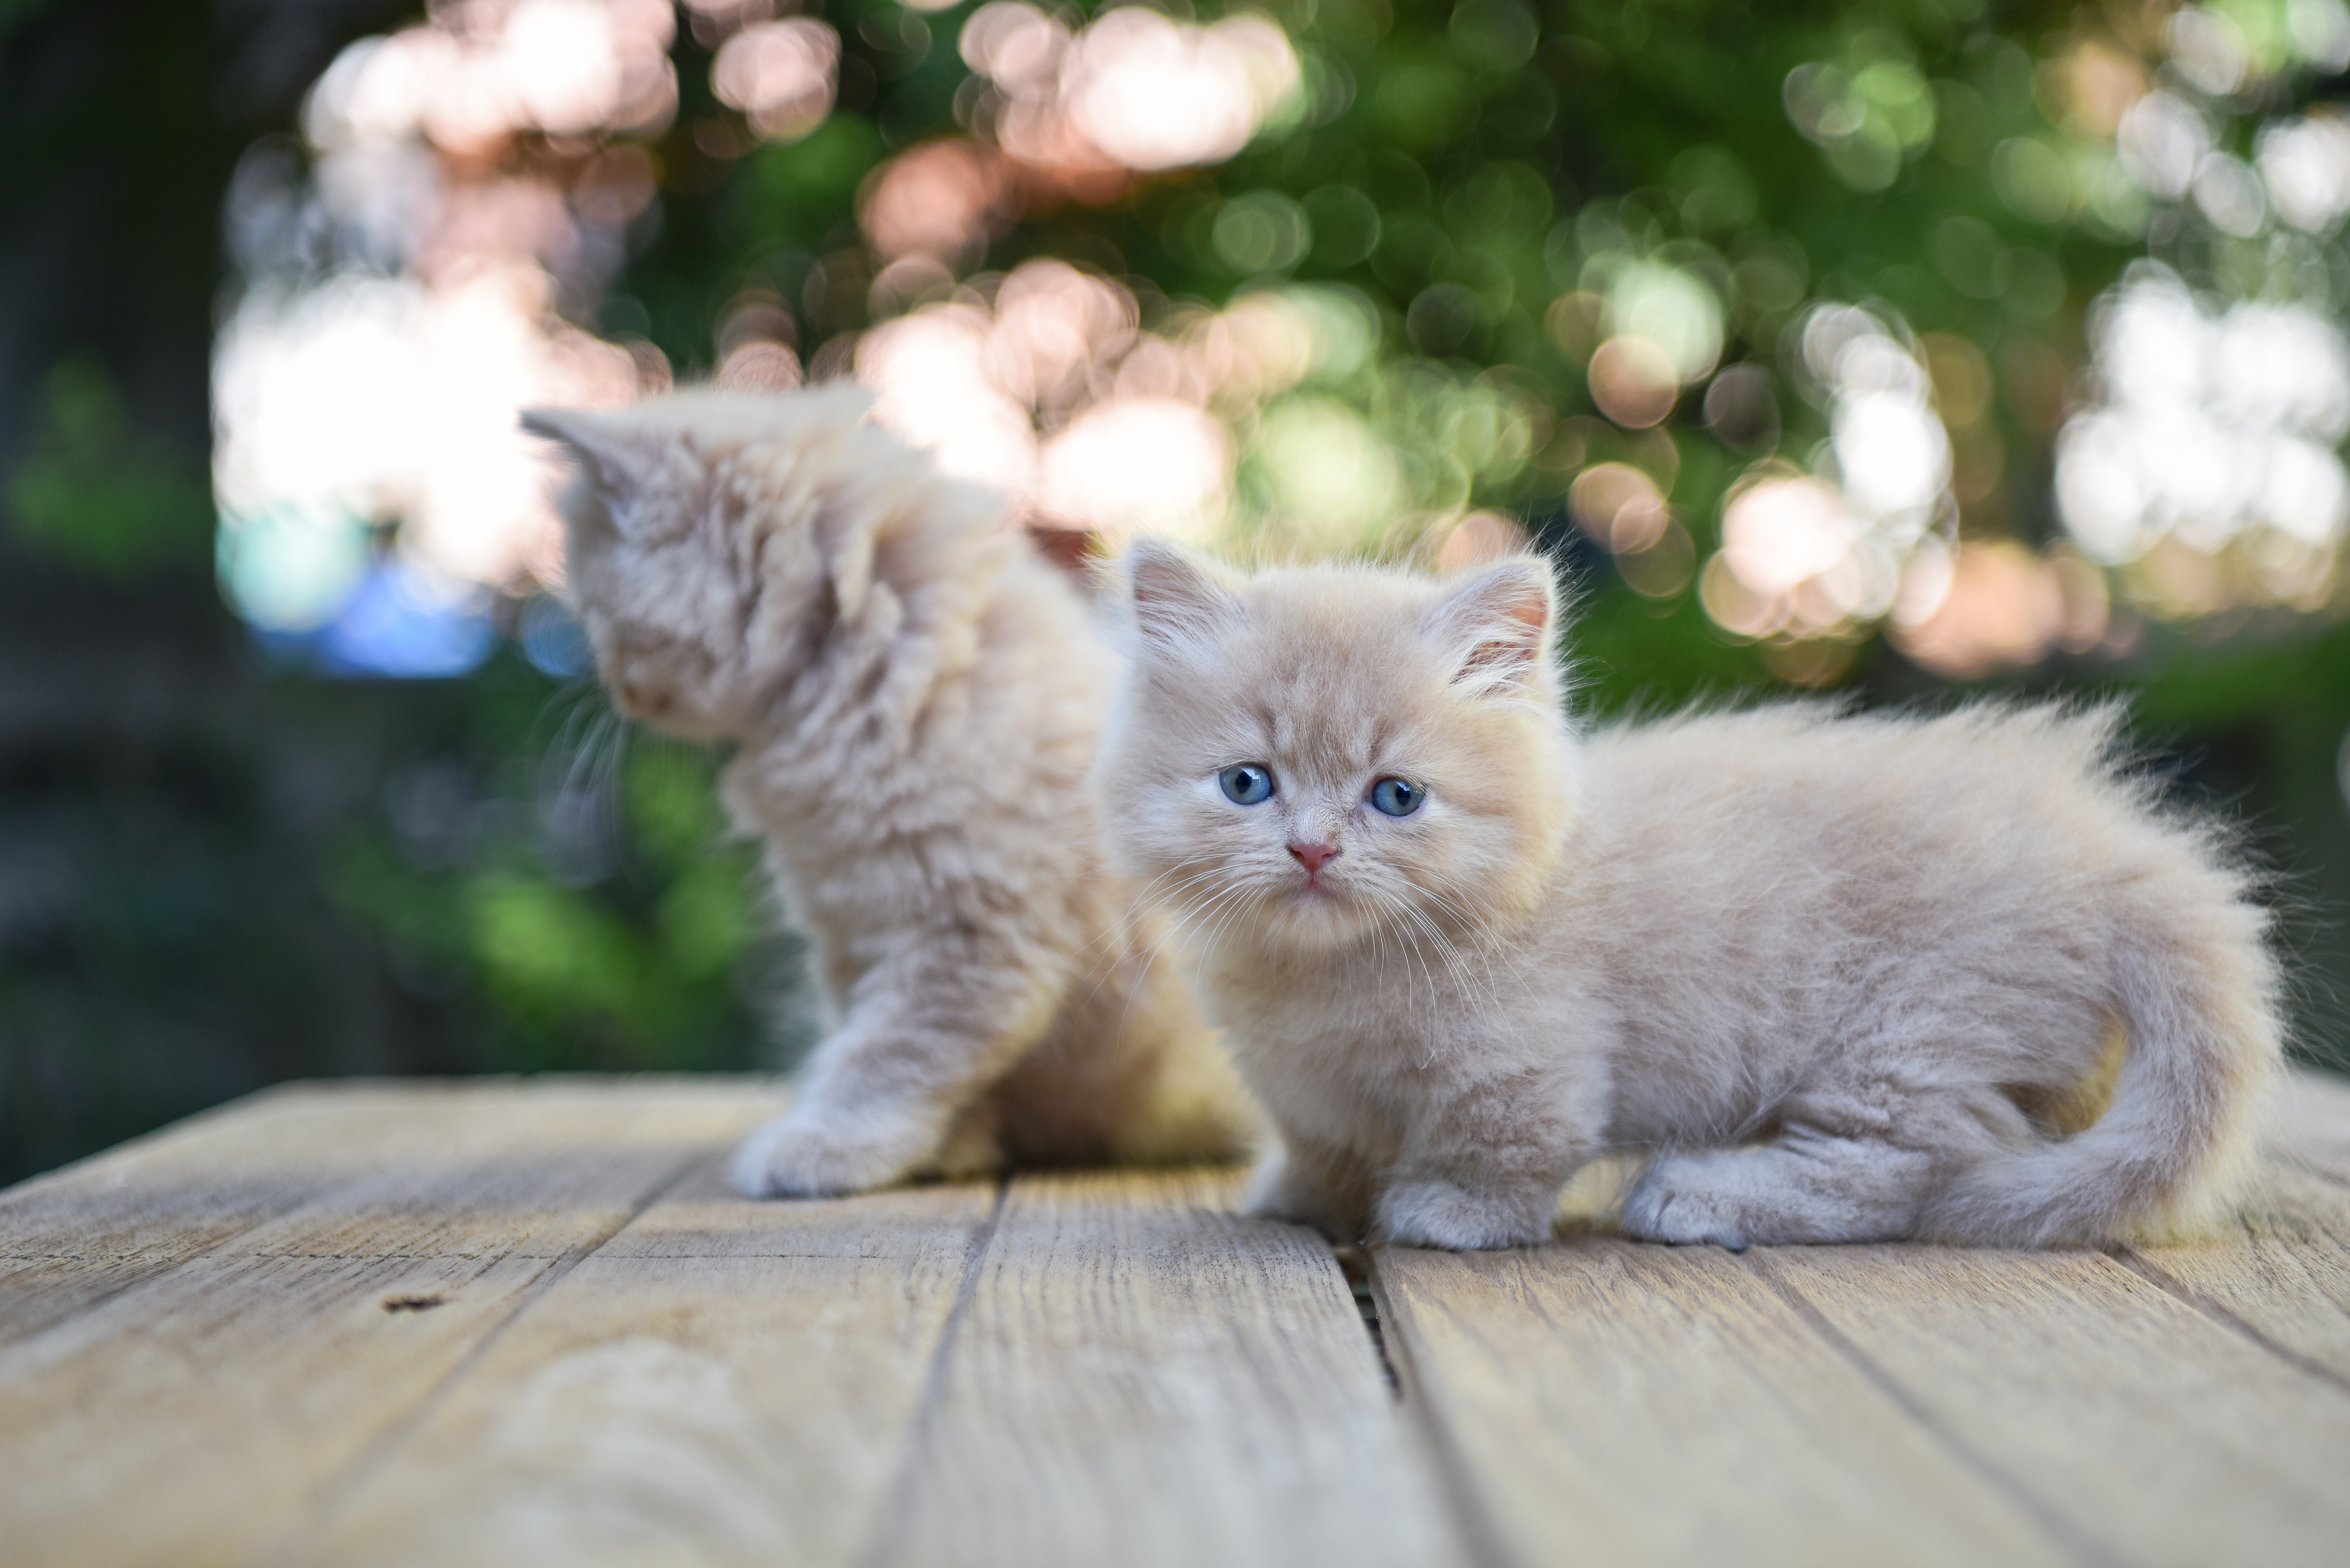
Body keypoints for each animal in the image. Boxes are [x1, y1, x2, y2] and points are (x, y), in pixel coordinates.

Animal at [522, 390, 1260, 1189]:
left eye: (595, 610)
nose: (606, 680)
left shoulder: (969, 938)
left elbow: (890, 1058)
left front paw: (822, 1148)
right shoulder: (855, 930)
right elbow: (885, 1048)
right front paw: (952, 1147)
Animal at [1090, 545, 2284, 1260]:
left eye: (1396, 796)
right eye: (1248, 783)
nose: (1310, 848)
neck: (1322, 984)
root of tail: (2105, 847)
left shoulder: (1530, 1070)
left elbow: (1497, 1150)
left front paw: (1451, 1215)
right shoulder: (1300, 1085)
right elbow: (1319, 1141)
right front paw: (1299, 1195)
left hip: (1908, 1038)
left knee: (1920, 1168)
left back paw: (1699, 1194)